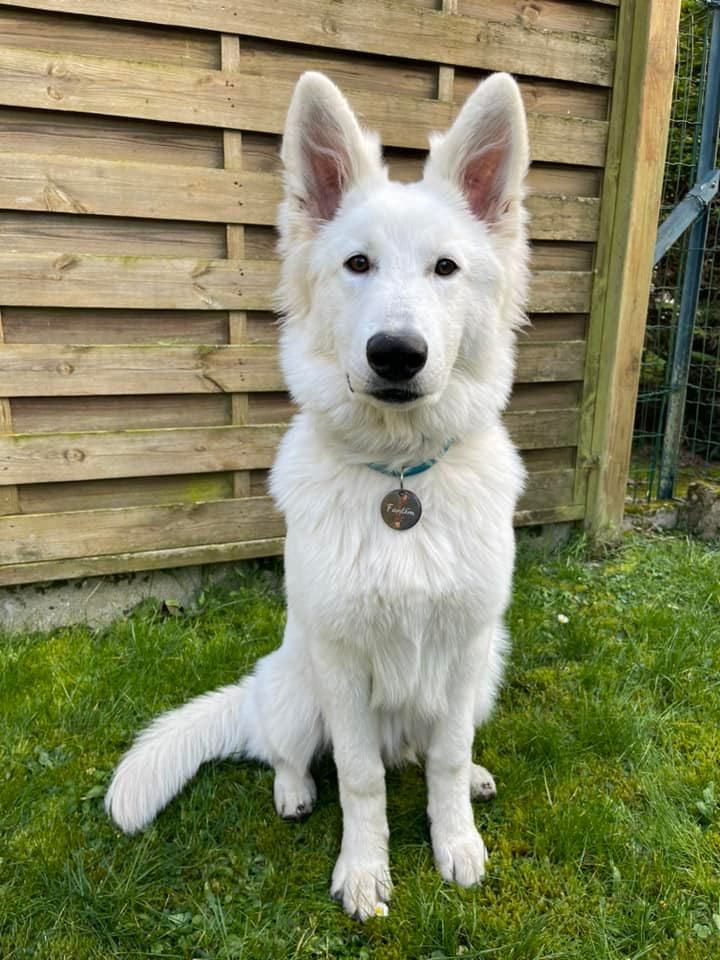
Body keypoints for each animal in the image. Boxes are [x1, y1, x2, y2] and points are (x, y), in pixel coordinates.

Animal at [108, 69, 536, 924]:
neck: (401, 480)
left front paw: (456, 840)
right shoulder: (342, 665)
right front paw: (365, 870)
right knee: (288, 750)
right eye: (357, 264)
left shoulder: (466, 646)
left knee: (436, 749)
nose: (397, 355)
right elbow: (362, 778)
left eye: (446, 268)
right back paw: (294, 791)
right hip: (298, 682)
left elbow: (445, 760)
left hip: (484, 671)